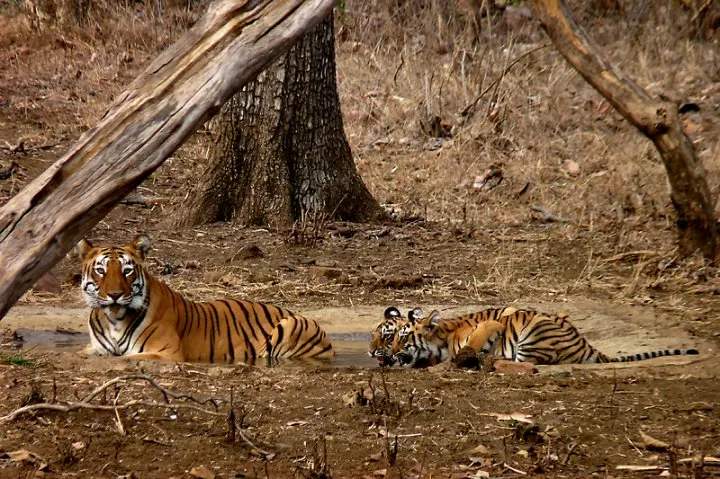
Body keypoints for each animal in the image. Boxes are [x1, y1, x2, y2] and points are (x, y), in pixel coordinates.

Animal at [76, 234, 335, 363]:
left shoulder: (167, 352)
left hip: (288, 328)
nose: (115, 295)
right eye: (101, 270)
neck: (114, 319)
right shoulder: (94, 347)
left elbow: (124, 359)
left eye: (127, 271)